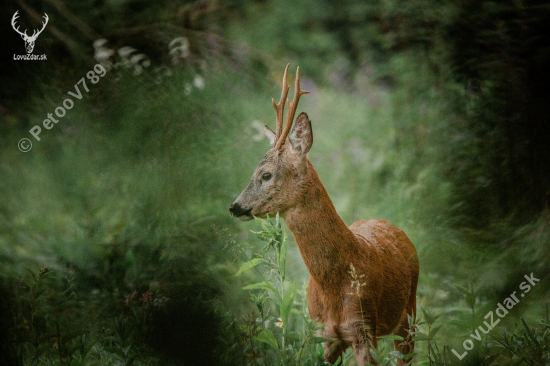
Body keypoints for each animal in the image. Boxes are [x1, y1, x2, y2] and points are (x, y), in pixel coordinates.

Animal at [231, 64, 420, 364]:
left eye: (266, 175)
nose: (235, 206)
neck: (335, 284)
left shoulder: (364, 329)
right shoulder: (323, 334)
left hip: (409, 317)